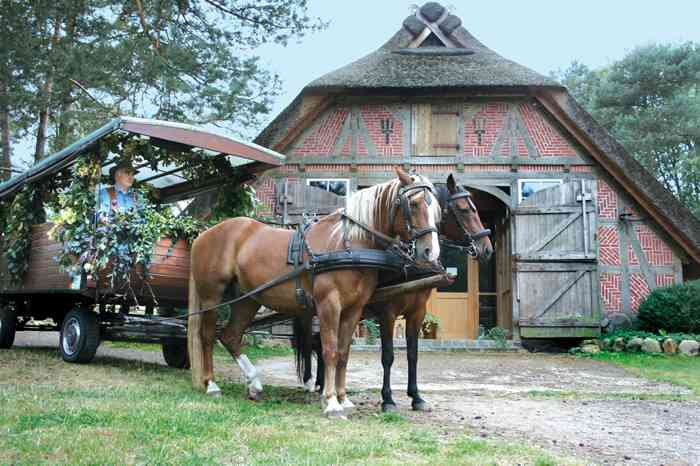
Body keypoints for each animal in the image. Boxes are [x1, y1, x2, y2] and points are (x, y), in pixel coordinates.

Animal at [189, 167, 440, 418]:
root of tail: (203, 235)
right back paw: (212, 385)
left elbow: (343, 353)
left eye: (436, 208)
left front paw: (343, 399)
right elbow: (330, 350)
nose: (431, 252)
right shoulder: (331, 305)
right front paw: (331, 403)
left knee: (230, 336)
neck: (349, 245)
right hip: (211, 296)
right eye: (413, 204)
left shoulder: (354, 309)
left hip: (248, 299)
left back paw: (255, 384)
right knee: (207, 336)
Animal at [304, 175, 492, 412]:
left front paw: (416, 397)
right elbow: (388, 356)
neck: (409, 264)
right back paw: (315, 385)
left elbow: (412, 354)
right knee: (317, 344)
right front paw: (388, 399)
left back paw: (321, 387)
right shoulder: (388, 314)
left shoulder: (417, 313)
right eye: (464, 209)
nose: (487, 249)